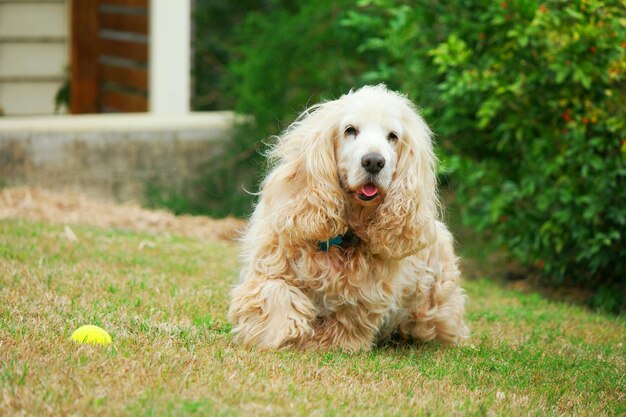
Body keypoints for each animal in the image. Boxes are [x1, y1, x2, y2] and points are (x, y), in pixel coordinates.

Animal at [227, 84, 466, 352]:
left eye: (393, 136)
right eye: (350, 130)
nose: (374, 161)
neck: (345, 232)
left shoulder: (362, 302)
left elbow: (341, 328)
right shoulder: (269, 264)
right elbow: (275, 292)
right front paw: (280, 334)